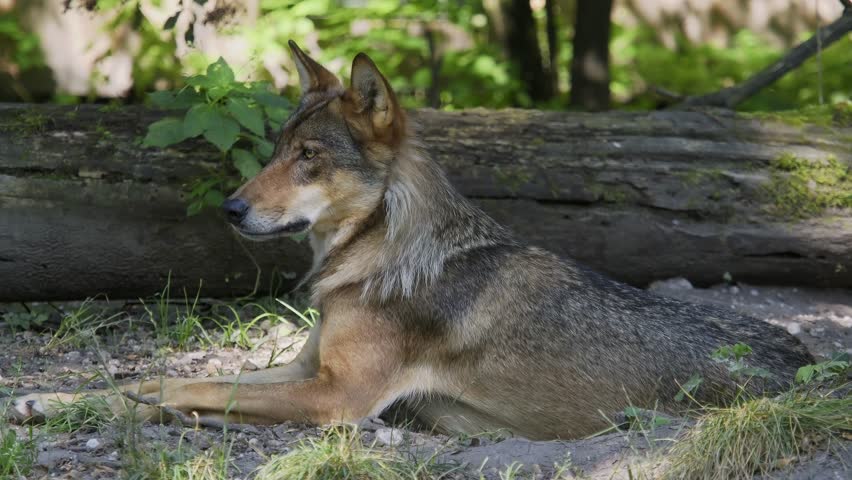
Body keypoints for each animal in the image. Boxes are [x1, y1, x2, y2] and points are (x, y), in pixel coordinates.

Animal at [10, 42, 813, 440]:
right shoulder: (305, 371)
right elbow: (155, 380)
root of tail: (814, 369)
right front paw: (53, 399)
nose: (232, 210)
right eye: (275, 150)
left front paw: (139, 404)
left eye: (310, 158)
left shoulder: (337, 398)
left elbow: (191, 383)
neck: (369, 257)